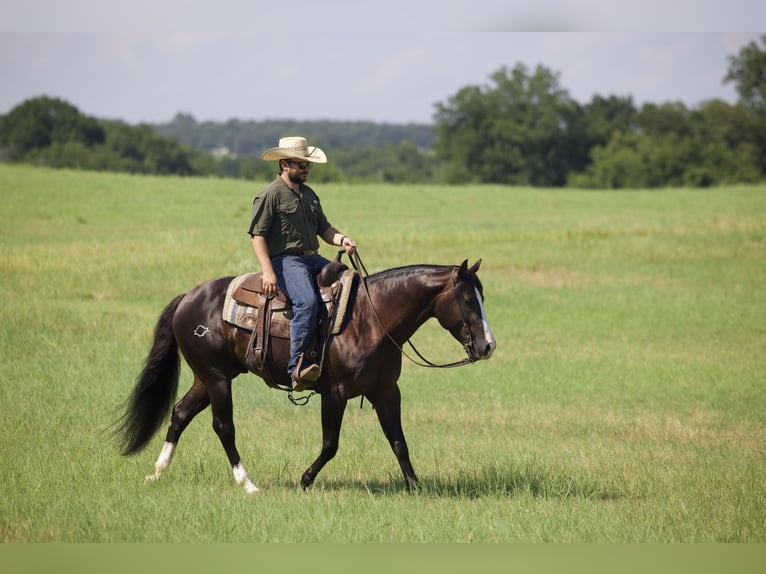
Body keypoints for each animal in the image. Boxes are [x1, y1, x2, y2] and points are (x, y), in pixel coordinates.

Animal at [116, 260, 496, 496]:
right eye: (466, 299)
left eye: (482, 297)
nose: (488, 345)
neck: (370, 320)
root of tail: (188, 298)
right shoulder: (335, 393)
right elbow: (331, 444)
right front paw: (304, 480)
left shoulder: (387, 391)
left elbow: (398, 441)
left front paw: (415, 488)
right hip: (217, 378)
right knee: (223, 426)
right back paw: (247, 483)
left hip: (206, 378)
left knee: (180, 412)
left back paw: (158, 471)